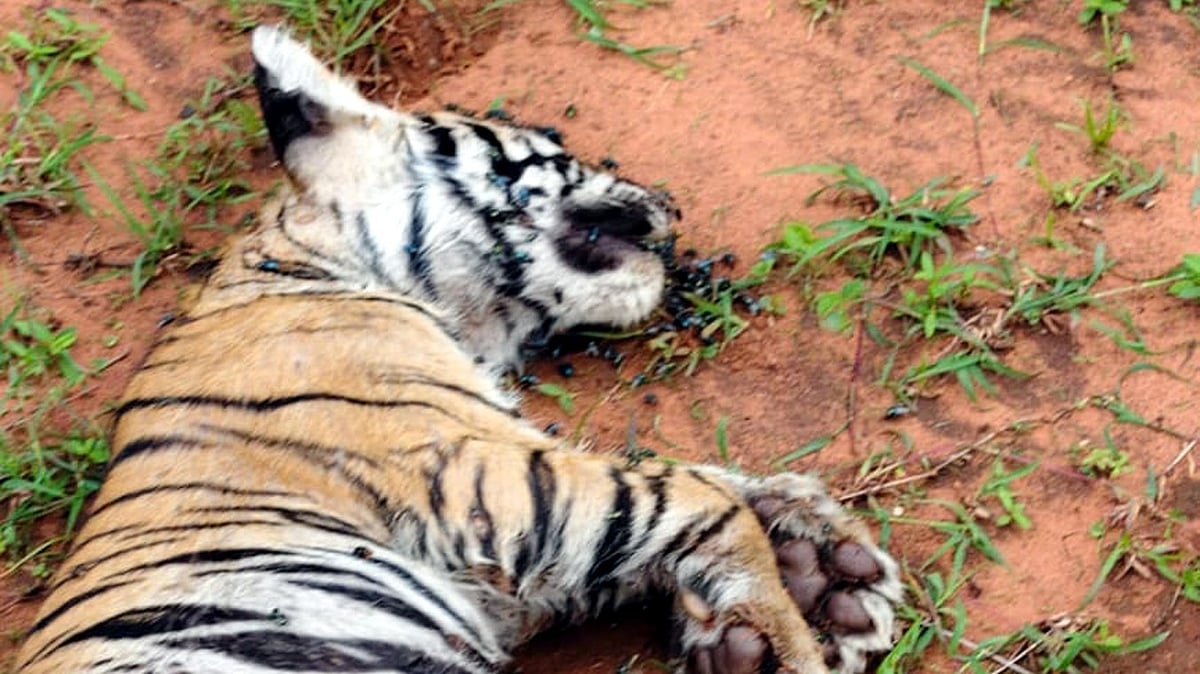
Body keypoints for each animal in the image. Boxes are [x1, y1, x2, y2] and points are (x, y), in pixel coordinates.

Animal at [15, 25, 903, 674]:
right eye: (552, 146)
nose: (667, 203)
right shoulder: (474, 472)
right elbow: (690, 494)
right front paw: (778, 638)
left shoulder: (502, 570)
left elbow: (699, 492)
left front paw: (822, 565)